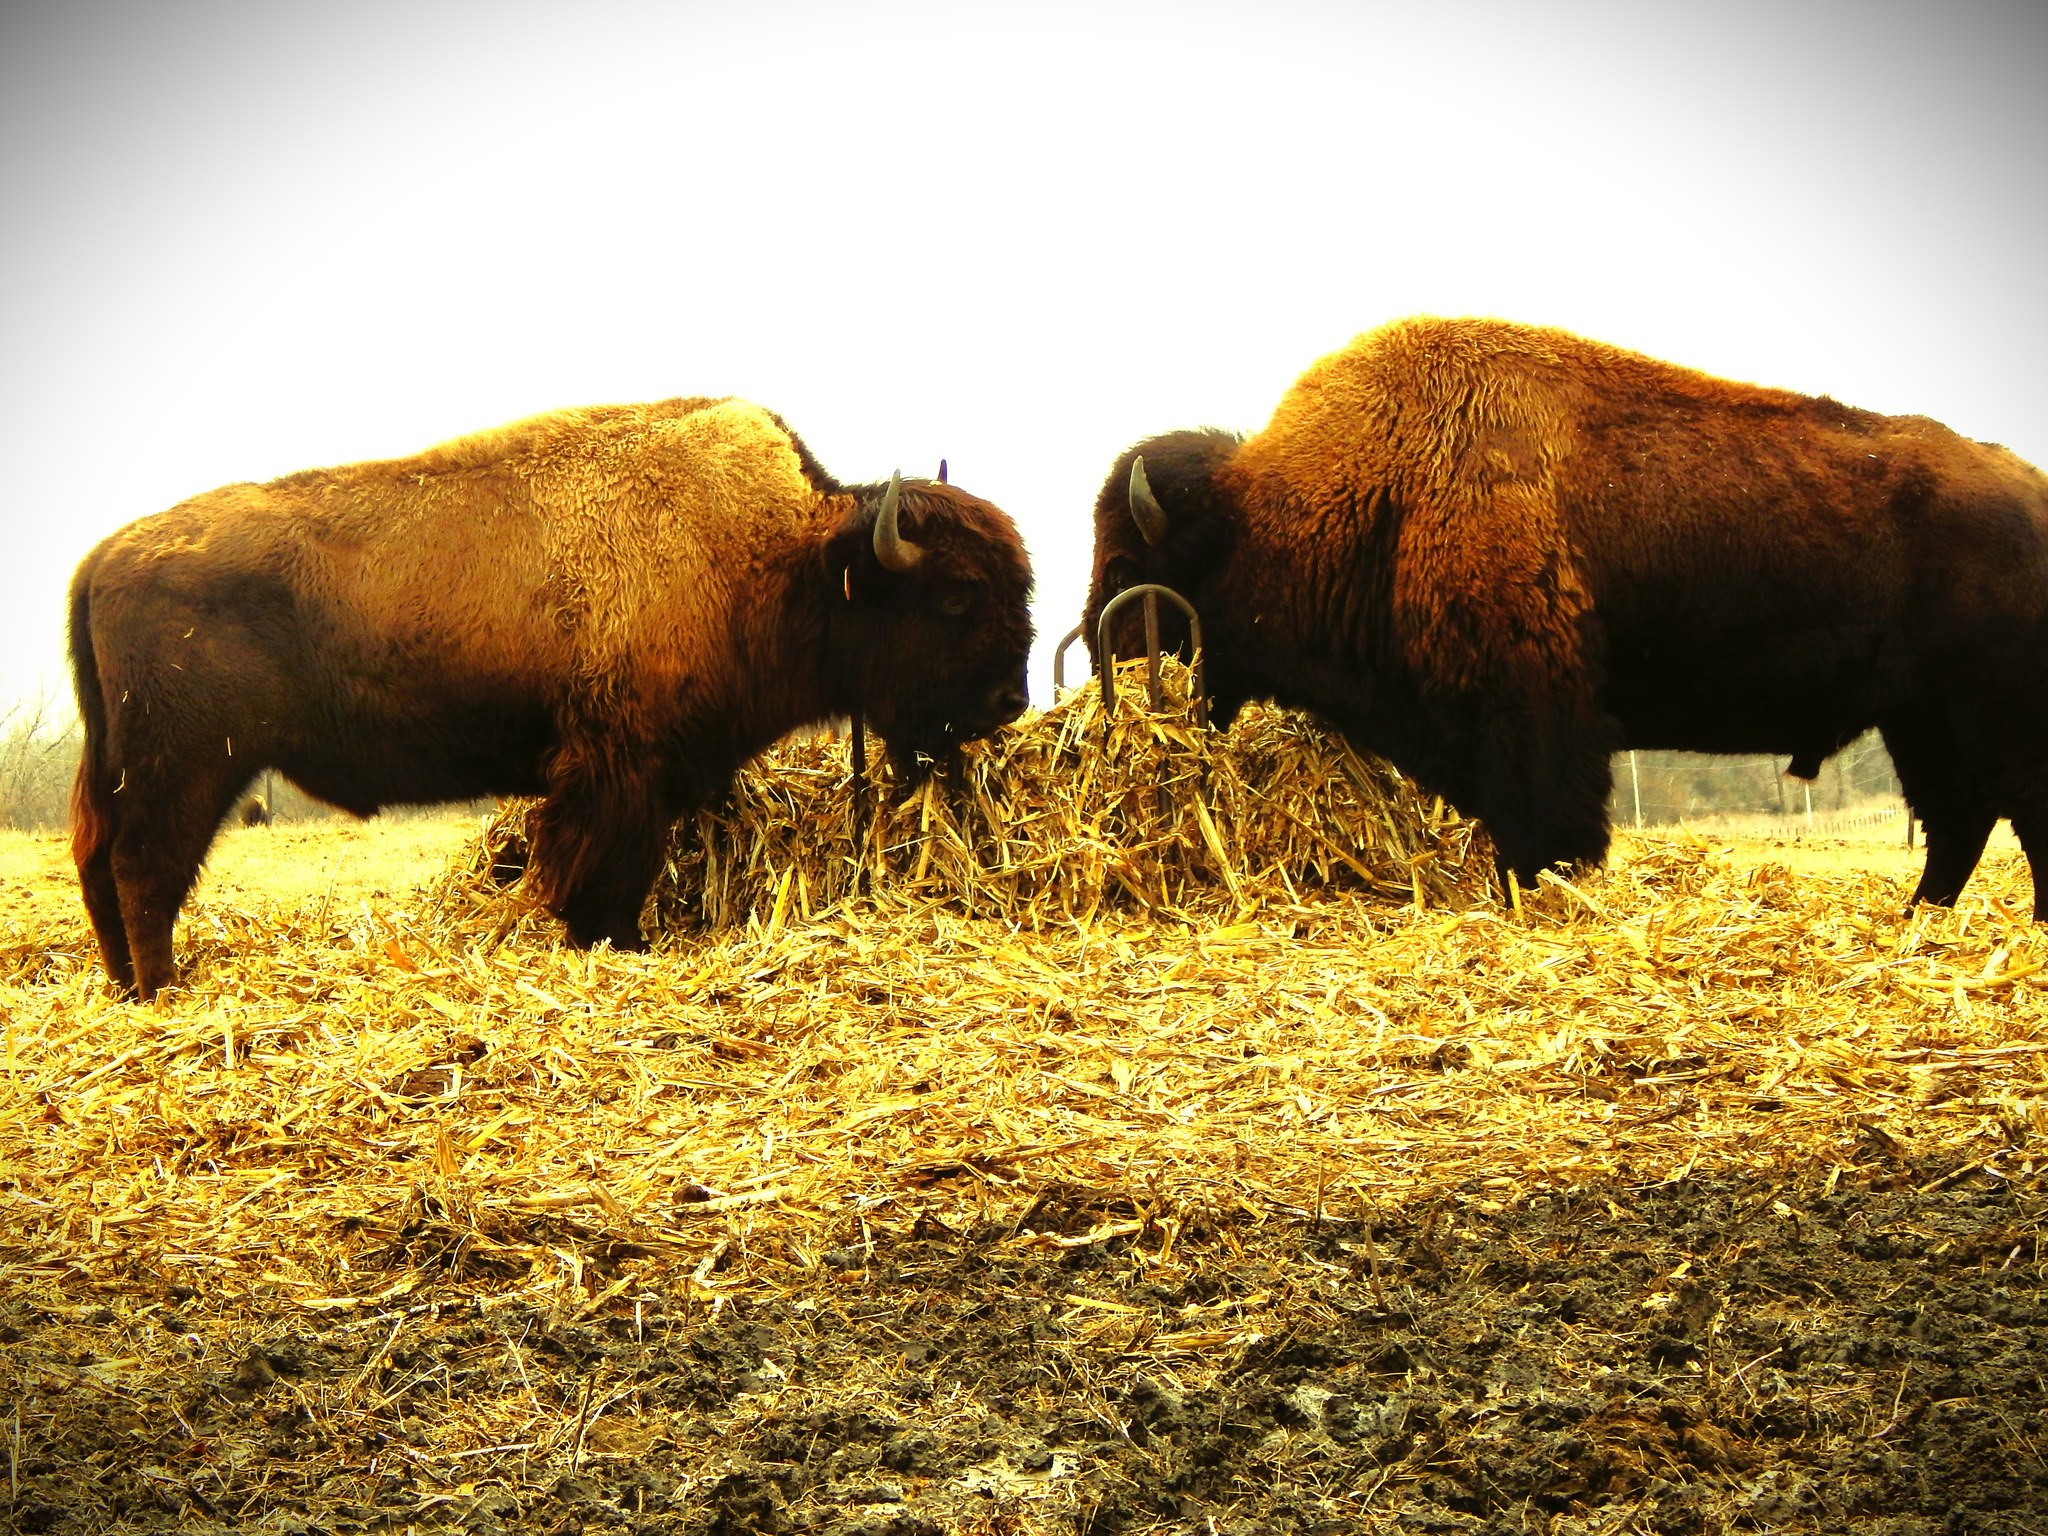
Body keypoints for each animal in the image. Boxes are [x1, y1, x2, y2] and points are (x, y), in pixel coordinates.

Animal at [71, 396, 1033, 1000]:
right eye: (956, 597)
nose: (1008, 701)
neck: (789, 557)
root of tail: (104, 556)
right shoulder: (619, 772)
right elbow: (603, 874)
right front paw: (607, 942)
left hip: (119, 764)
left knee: (100, 863)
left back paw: (125, 989)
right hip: (188, 767)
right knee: (145, 868)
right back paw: (163, 990)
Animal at [1085, 316, 2048, 915]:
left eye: (1131, 567)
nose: (1106, 684)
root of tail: (2030, 491)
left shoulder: (1535, 717)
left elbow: (1544, 831)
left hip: (1983, 719)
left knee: (2006, 820)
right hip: (1919, 722)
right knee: (1958, 826)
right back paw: (1916, 921)